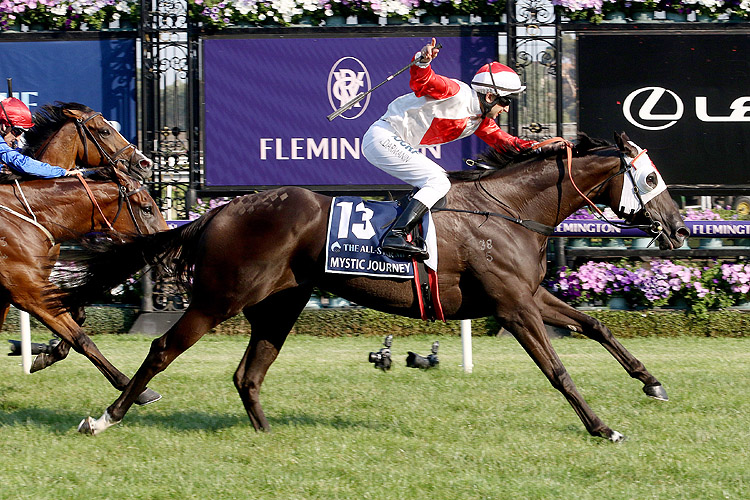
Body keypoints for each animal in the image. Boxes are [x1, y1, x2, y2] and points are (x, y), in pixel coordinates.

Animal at [58, 133, 692, 442]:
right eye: (651, 176)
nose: (680, 228)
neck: (510, 209)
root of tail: (218, 213)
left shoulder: (526, 295)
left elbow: (595, 323)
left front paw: (653, 383)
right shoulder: (513, 306)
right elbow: (558, 370)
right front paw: (603, 428)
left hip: (280, 304)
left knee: (248, 373)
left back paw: (268, 437)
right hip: (220, 297)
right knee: (163, 348)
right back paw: (105, 418)